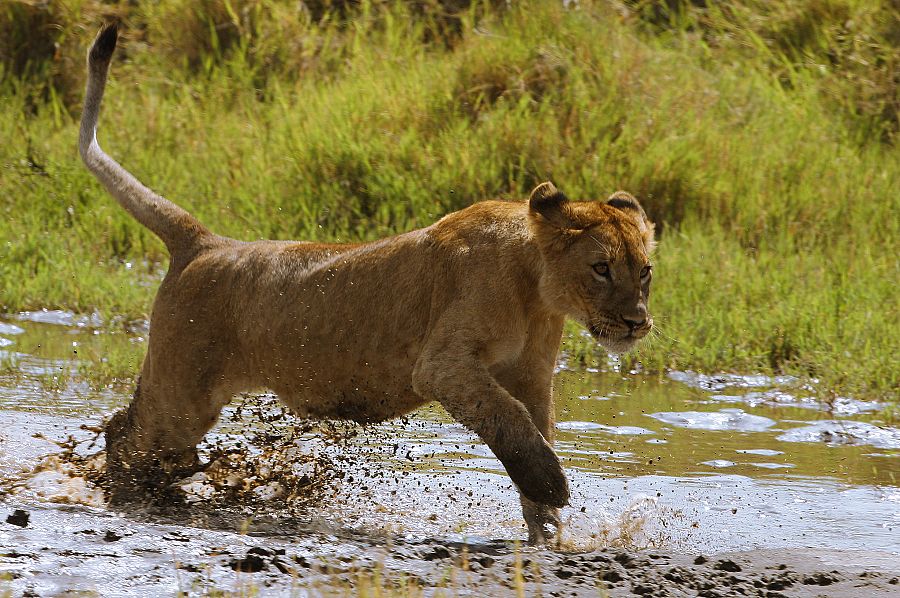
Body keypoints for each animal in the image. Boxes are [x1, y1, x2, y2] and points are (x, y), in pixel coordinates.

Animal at [79, 24, 655, 544]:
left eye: (644, 271)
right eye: (601, 269)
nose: (636, 323)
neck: (537, 293)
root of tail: (204, 242)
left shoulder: (531, 374)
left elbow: (532, 429)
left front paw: (546, 532)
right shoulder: (442, 366)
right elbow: (510, 422)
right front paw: (552, 487)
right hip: (182, 392)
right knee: (122, 431)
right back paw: (133, 495)